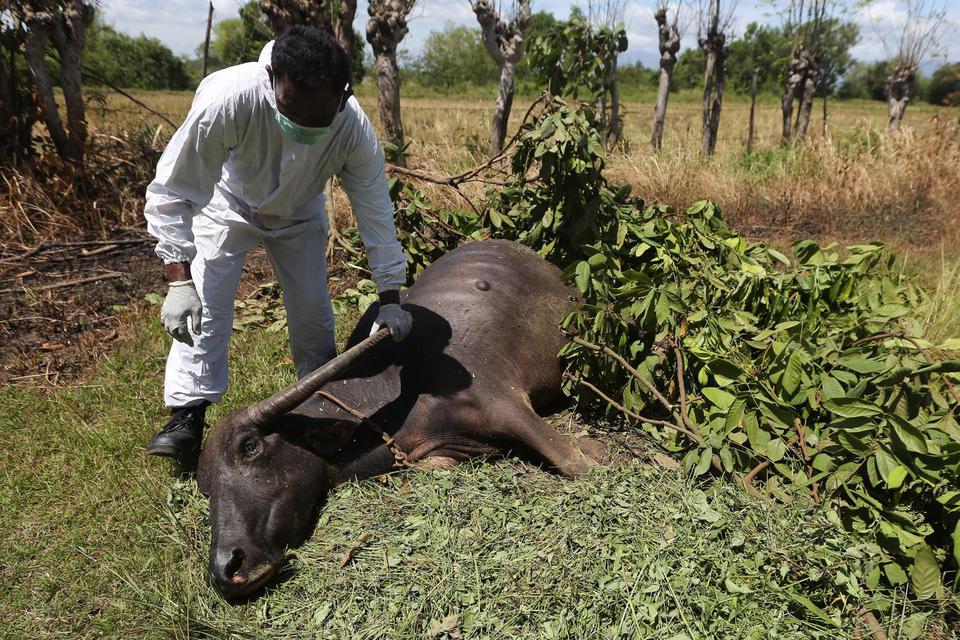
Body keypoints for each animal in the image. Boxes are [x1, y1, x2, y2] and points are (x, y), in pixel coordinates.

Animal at [195, 239, 600, 600]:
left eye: (250, 446)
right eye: (205, 486)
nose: (226, 567)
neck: (397, 393)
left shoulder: (505, 401)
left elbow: (576, 465)